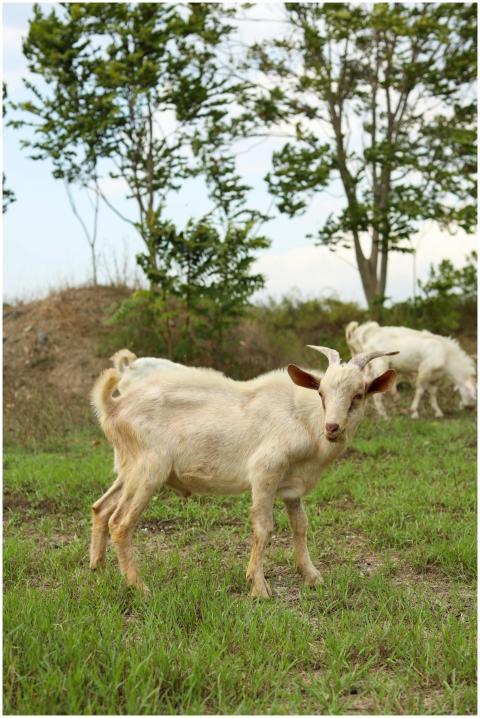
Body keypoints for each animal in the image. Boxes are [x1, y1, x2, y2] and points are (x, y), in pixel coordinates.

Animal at [90, 346, 397, 598]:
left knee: (101, 508)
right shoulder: (265, 470)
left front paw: (311, 576)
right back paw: (139, 587)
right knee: (120, 522)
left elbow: (301, 524)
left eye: (358, 395)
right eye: (321, 393)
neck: (303, 420)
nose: (332, 427)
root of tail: (113, 407)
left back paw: (99, 569)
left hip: (129, 469)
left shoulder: (292, 484)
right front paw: (259, 587)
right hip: (149, 469)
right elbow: (264, 526)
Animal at [345, 321, 476, 419]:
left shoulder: (435, 377)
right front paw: (414, 412)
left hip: (369, 366)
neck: (446, 355)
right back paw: (384, 415)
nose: (470, 408)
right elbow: (420, 390)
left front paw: (438, 412)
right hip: (380, 364)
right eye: (474, 394)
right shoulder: (425, 369)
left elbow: (433, 393)